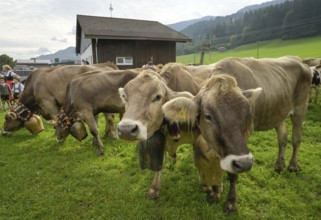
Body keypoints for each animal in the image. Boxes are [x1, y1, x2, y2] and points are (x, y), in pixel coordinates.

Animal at [162, 56, 310, 213]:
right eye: (208, 116)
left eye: (248, 114)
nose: (245, 163)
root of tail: (298, 61)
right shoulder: (213, 142)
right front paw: (215, 191)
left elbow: (232, 173)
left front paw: (231, 202)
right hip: (278, 114)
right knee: (282, 138)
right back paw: (279, 165)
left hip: (301, 109)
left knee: (296, 139)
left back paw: (292, 165)